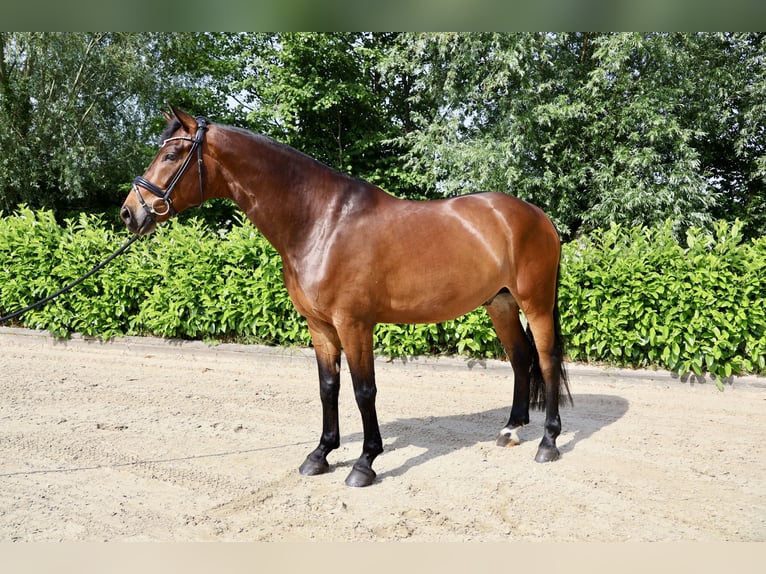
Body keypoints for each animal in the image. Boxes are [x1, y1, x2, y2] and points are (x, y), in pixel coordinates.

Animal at [120, 105, 571, 487]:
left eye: (171, 154)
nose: (129, 212)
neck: (322, 222)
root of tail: (537, 216)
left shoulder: (353, 324)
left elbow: (363, 390)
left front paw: (364, 463)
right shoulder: (319, 326)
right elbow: (328, 387)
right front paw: (320, 454)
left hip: (535, 303)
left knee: (547, 360)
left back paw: (548, 442)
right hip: (500, 303)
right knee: (521, 359)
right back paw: (511, 429)